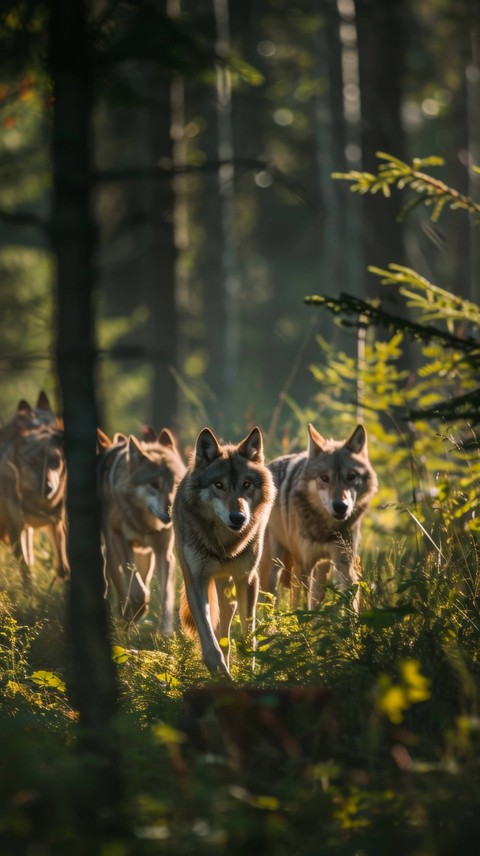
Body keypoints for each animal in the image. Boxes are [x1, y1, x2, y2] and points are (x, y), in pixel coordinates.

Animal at [99, 427, 186, 633]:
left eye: (176, 483)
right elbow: (138, 593)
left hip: (145, 556)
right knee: (117, 585)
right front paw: (132, 613)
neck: (145, 524)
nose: (171, 512)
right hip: (111, 552)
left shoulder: (164, 553)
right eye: (154, 484)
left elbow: (165, 596)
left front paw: (165, 634)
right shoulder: (119, 543)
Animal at [173, 426, 276, 678]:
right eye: (218, 485)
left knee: (224, 632)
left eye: (246, 484)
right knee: (219, 633)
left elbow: (247, 638)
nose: (238, 517)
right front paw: (222, 675)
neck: (224, 544)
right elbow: (210, 645)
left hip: (229, 590)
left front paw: (248, 675)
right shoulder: (195, 581)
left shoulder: (247, 579)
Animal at [259, 423, 378, 611]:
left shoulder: (344, 564)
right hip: (272, 568)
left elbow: (350, 604)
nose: (340, 506)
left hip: (321, 569)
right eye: (324, 478)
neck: (325, 528)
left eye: (351, 477)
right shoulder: (302, 566)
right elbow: (298, 608)